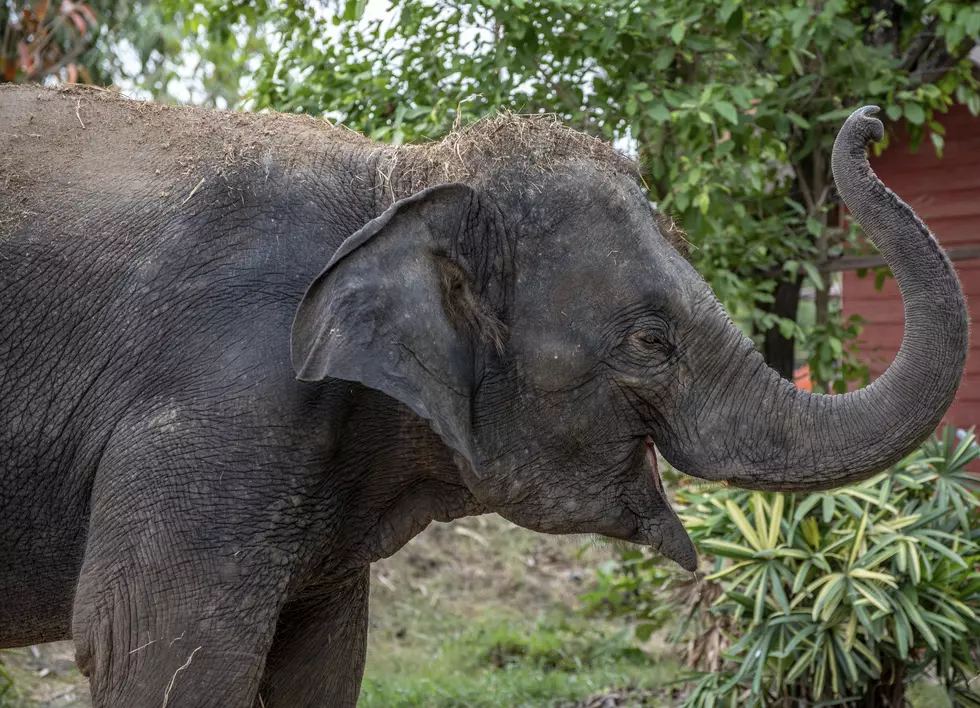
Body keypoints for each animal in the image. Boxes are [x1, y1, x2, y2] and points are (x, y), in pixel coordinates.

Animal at [0, 84, 968, 708]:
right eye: (650, 343)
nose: (871, 122)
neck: (402, 175)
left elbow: (322, 660)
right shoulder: (218, 404)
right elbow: (154, 650)